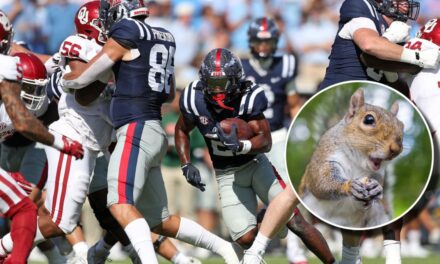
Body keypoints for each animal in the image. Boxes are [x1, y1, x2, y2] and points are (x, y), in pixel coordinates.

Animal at [300, 87, 402, 228]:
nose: (396, 149)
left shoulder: (377, 173)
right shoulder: (325, 157)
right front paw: (349, 186)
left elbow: (378, 182)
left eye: (402, 126)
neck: (357, 162)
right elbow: (321, 179)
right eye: (369, 119)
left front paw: (377, 188)